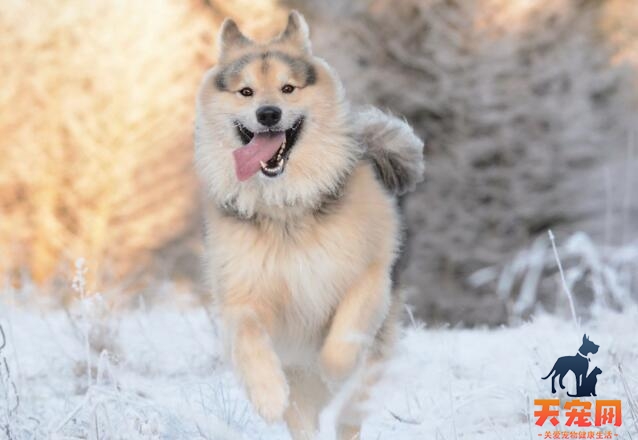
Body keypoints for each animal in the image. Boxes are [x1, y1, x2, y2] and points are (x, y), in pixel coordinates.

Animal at [195, 10, 424, 440]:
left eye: (288, 88)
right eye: (246, 92)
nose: (268, 114)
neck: (287, 206)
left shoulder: (368, 277)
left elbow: (344, 335)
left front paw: (334, 367)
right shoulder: (242, 295)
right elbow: (249, 337)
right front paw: (268, 395)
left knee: (351, 410)